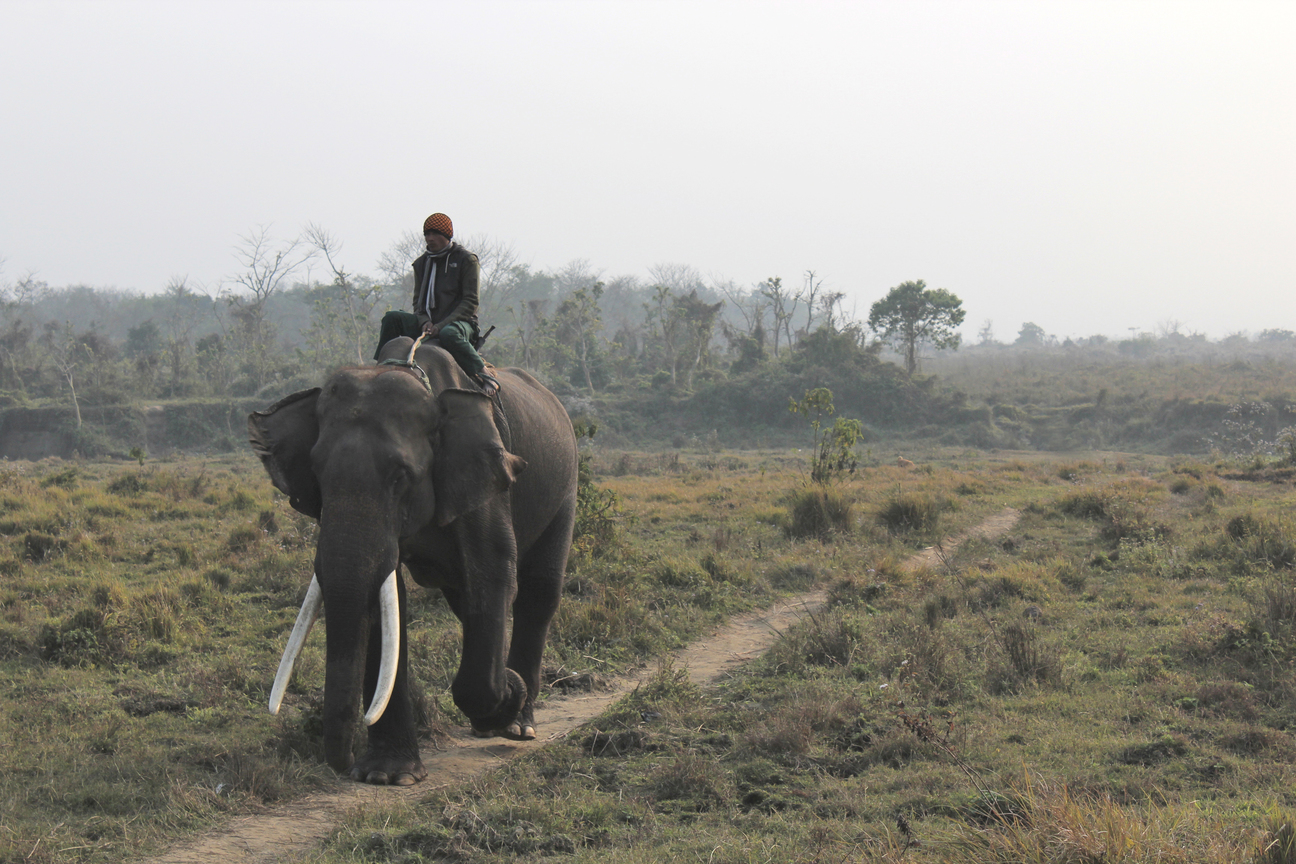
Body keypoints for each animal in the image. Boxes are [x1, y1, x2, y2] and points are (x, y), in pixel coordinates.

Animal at [246, 341, 578, 787]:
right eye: (317, 474)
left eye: (400, 476)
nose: (343, 764)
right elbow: (385, 598)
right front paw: (387, 776)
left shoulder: (483, 478)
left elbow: (492, 574)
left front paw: (509, 692)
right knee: (464, 603)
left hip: (565, 485)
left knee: (538, 593)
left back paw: (517, 724)